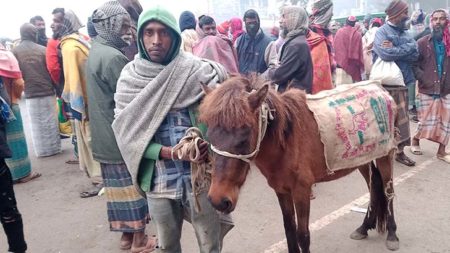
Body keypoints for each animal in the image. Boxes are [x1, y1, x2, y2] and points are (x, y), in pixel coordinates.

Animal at [199, 77, 400, 253]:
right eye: (210, 136)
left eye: (245, 134)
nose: (218, 200)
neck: (286, 141)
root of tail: (381, 90)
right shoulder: (281, 190)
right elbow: (289, 230)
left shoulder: (301, 191)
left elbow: (303, 235)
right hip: (362, 159)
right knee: (374, 186)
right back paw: (364, 227)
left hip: (385, 155)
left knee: (388, 191)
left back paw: (392, 235)